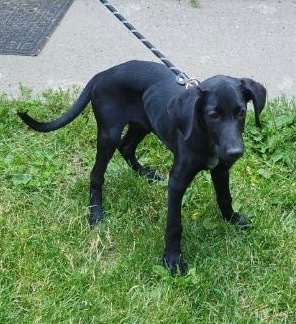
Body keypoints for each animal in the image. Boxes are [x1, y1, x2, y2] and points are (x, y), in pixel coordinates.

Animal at [17, 60, 266, 274]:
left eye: (241, 112)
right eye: (213, 115)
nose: (235, 152)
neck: (205, 137)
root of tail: (103, 74)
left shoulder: (221, 170)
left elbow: (225, 197)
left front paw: (232, 218)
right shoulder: (177, 181)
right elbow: (174, 225)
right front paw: (172, 259)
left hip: (143, 122)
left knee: (126, 147)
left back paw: (145, 174)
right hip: (109, 133)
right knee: (97, 174)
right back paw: (96, 213)